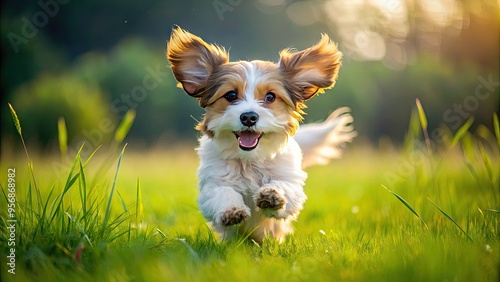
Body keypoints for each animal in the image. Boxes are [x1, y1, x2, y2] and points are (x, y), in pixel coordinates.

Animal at [167, 25, 356, 242]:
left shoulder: (291, 182)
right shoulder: (212, 183)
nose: (249, 117)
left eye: (270, 97)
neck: (250, 159)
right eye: (231, 95)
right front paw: (232, 211)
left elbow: (284, 187)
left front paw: (271, 196)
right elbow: (222, 192)